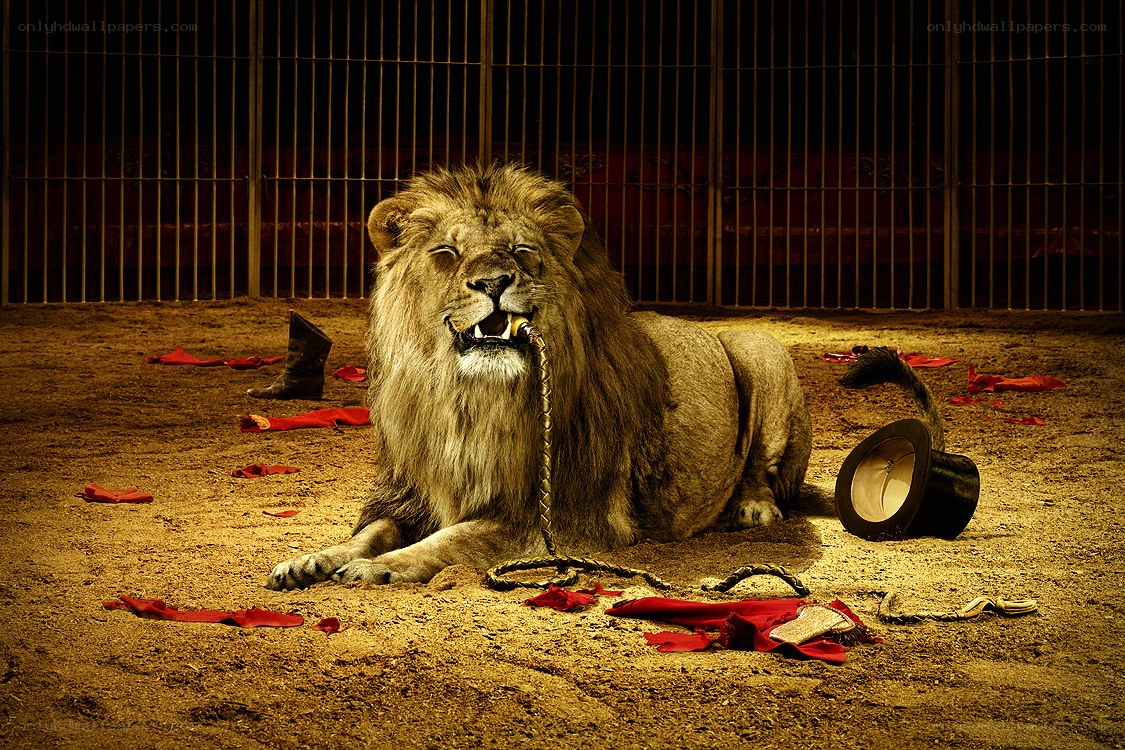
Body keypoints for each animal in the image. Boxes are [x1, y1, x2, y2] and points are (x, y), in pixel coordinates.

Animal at [266, 163, 811, 590]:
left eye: (521, 249)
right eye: (447, 253)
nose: (493, 282)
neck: (469, 400)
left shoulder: (562, 518)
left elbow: (453, 540)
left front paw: (381, 567)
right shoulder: (409, 493)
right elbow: (367, 533)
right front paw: (312, 560)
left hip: (760, 348)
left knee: (763, 467)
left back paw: (753, 508)